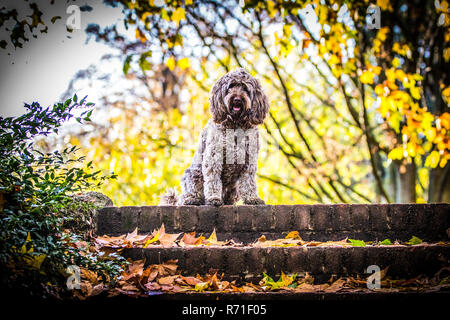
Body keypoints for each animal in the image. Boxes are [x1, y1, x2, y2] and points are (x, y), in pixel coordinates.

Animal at [160, 68, 268, 206]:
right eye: (231, 86)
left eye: (245, 88)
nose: (237, 99)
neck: (235, 123)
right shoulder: (214, 157)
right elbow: (213, 180)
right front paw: (214, 198)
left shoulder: (249, 159)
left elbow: (248, 181)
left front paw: (252, 198)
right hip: (193, 174)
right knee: (189, 194)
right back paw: (192, 199)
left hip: (234, 187)